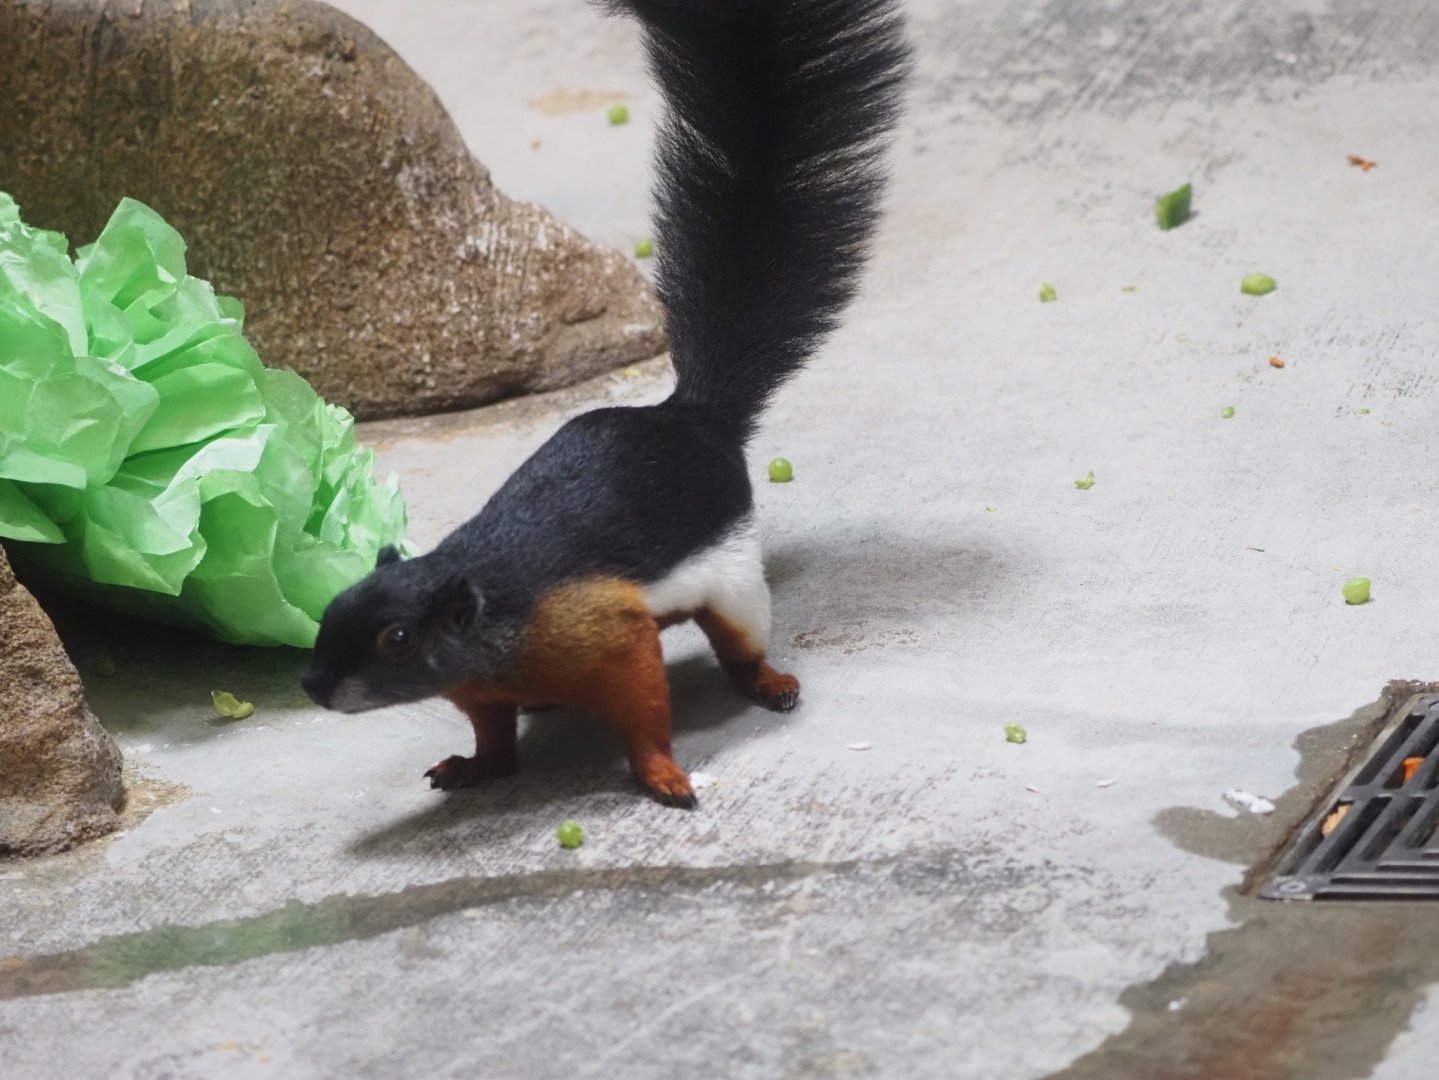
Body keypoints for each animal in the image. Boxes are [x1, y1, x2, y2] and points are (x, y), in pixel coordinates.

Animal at [300, 0, 910, 808]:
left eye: (397, 639)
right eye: (331, 607)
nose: (311, 685)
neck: (498, 619)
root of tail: (690, 416)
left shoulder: (608, 633)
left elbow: (643, 708)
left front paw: (663, 776)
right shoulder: (480, 687)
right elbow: (493, 736)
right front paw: (474, 766)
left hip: (734, 579)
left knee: (740, 641)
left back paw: (768, 681)